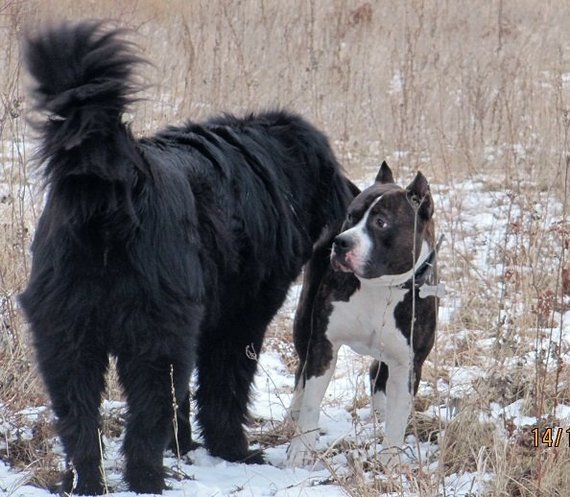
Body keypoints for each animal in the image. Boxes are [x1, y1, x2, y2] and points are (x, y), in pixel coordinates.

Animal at [21, 21, 350, 494]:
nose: (353, 194)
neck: (270, 171)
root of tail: (113, 187)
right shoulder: (238, 321)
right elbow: (223, 388)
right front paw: (234, 451)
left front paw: (186, 446)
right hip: (152, 337)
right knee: (145, 417)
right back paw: (149, 479)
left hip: (65, 337)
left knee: (79, 422)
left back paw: (87, 483)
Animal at [286, 162, 442, 464]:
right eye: (351, 216)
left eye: (381, 222)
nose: (341, 242)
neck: (380, 287)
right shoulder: (324, 346)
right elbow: (311, 404)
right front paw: (299, 453)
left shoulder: (408, 365)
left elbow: (397, 418)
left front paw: (391, 462)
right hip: (304, 322)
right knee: (301, 372)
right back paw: (293, 412)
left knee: (377, 373)